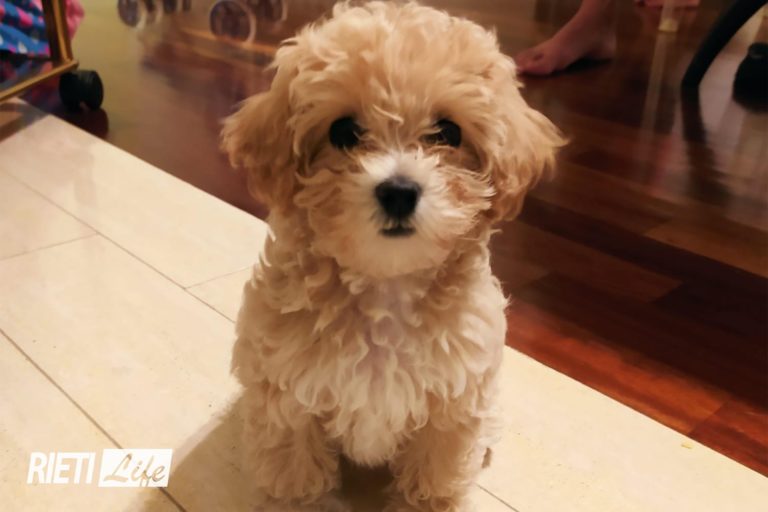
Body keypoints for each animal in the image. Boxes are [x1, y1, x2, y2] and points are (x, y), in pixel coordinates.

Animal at [222, 2, 562, 511]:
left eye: (448, 132)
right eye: (343, 131)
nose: (399, 192)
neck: (386, 286)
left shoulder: (451, 409)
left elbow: (432, 484)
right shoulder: (286, 400)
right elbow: (298, 476)